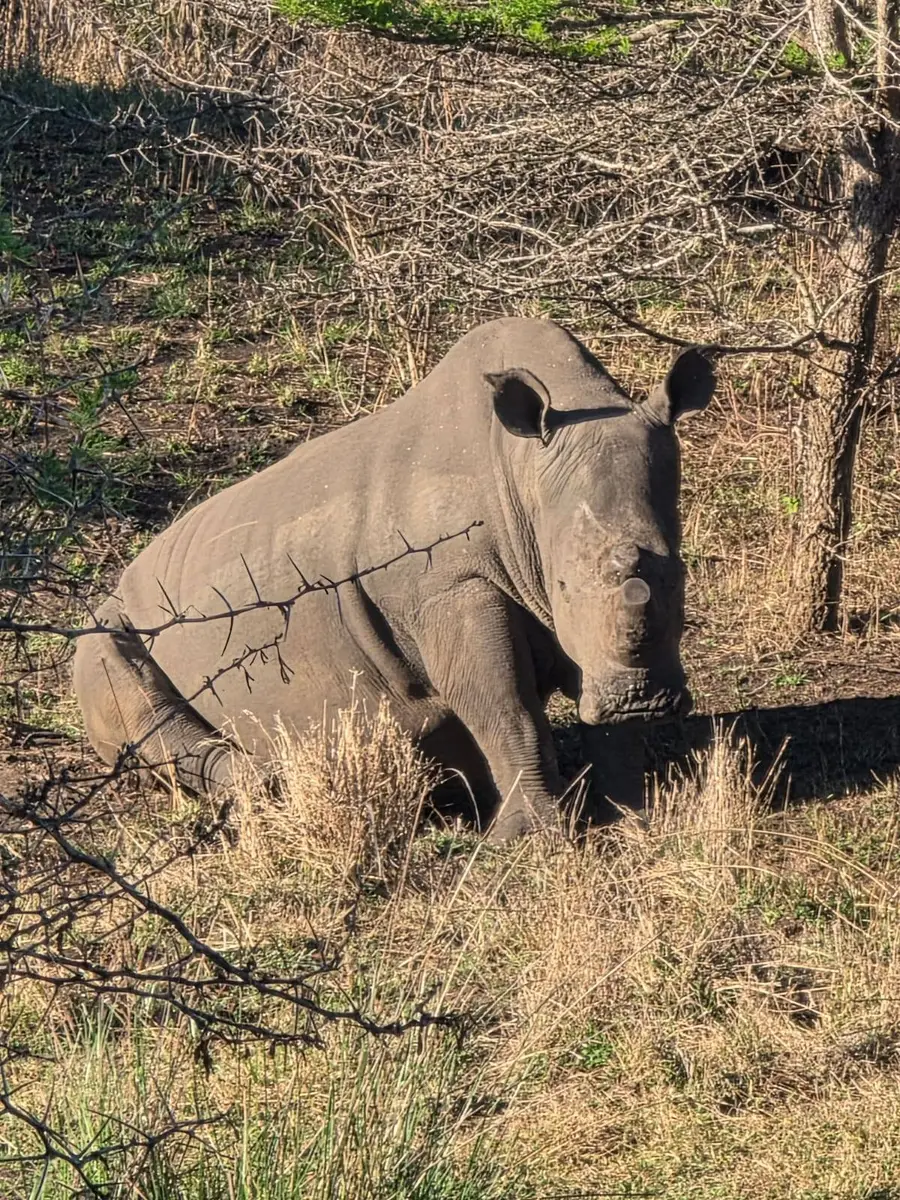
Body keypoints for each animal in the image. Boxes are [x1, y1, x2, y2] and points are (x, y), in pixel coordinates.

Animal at [73, 317, 714, 839]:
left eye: (682, 575)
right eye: (561, 588)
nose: (641, 702)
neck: (523, 473)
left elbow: (592, 705)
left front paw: (634, 811)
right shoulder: (449, 585)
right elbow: (503, 705)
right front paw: (535, 839)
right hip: (110, 621)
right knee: (126, 682)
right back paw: (279, 785)